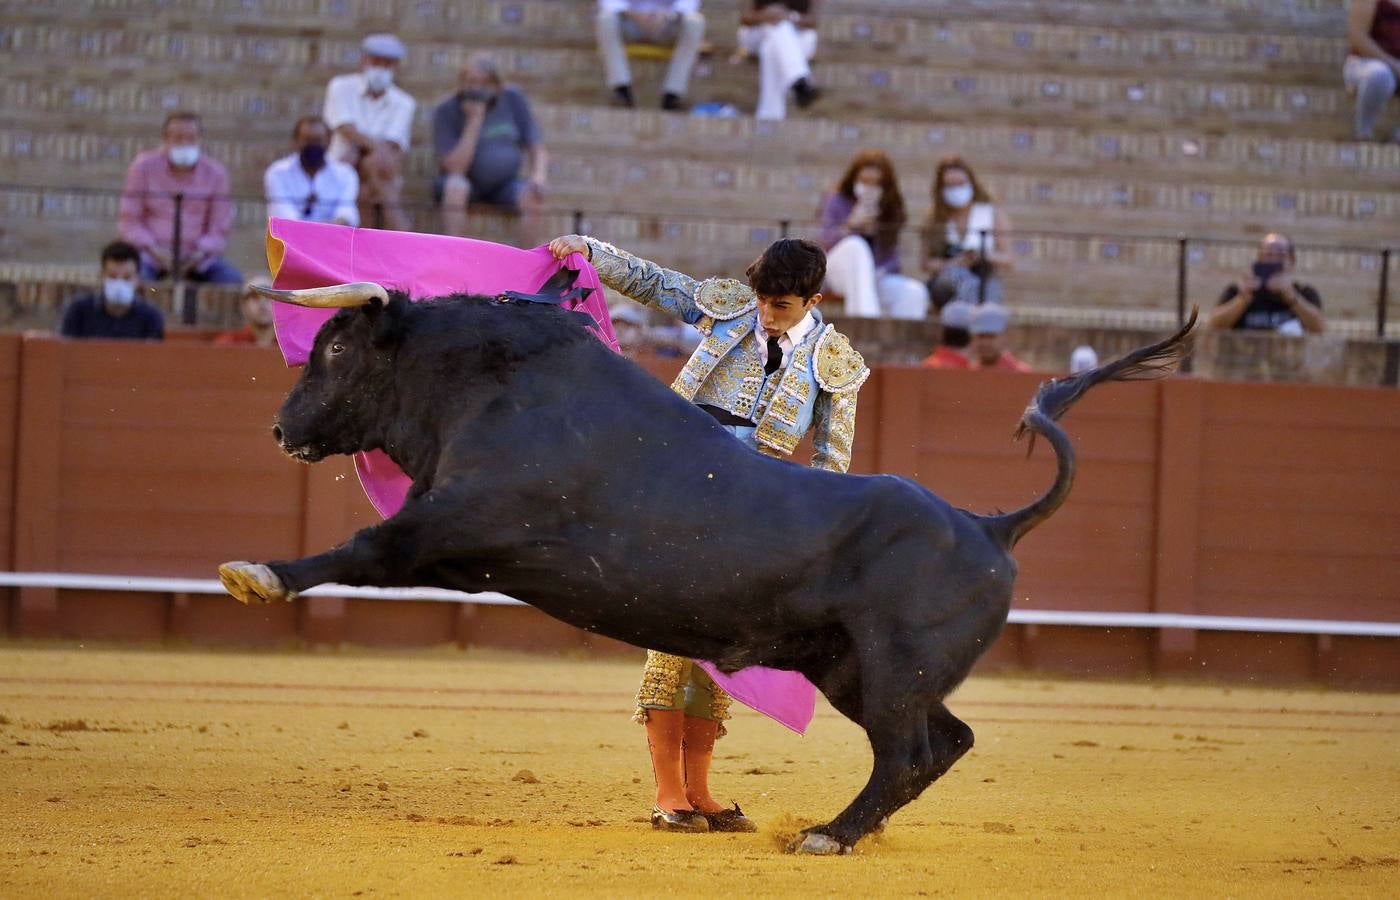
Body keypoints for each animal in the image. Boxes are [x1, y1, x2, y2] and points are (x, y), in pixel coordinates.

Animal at [215, 291, 1192, 856]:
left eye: (336, 351)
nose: (279, 428)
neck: (499, 383)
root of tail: (991, 526)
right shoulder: (463, 552)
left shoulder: (456, 519)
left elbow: (362, 549)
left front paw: (256, 573)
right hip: (853, 669)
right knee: (941, 744)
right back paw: (843, 829)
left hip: (890, 668)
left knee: (910, 750)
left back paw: (829, 836)